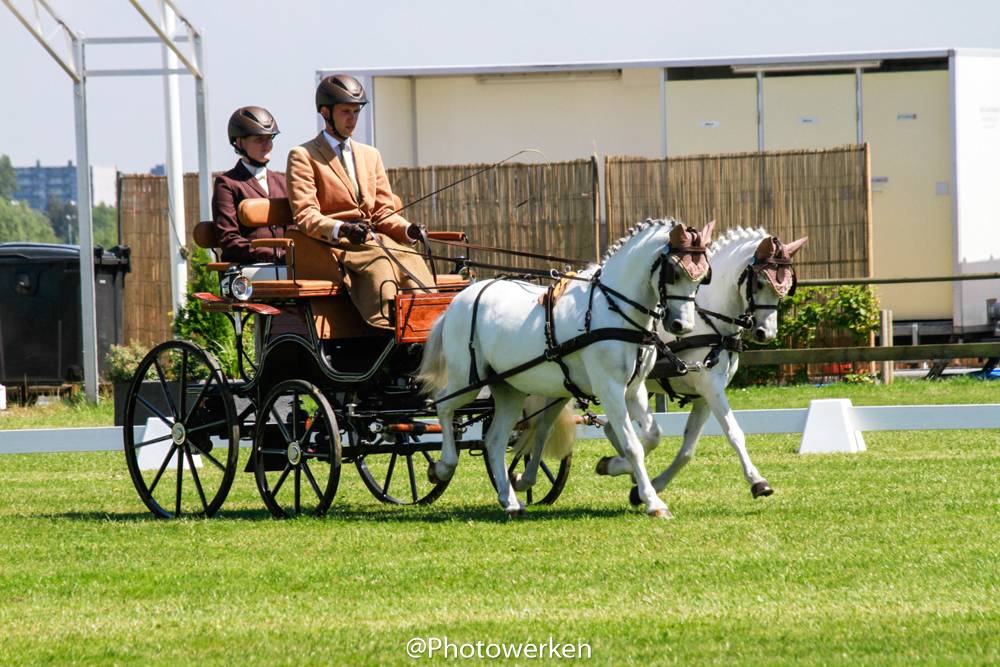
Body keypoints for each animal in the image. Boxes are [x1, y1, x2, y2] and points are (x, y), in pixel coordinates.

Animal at [417, 219, 715, 518]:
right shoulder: (609, 389)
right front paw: (653, 502)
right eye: (674, 272)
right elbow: (633, 445)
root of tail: (460, 300)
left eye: (702, 277)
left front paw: (616, 467)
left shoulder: (634, 389)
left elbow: (652, 436)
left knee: (494, 440)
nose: (682, 325)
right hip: (466, 380)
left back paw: (510, 500)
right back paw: (442, 467)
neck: (613, 309)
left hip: (509, 389)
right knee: (443, 405)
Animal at [593, 227, 808, 505]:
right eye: (760, 283)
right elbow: (734, 432)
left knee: (612, 428)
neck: (710, 319)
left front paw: (654, 484)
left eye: (786, 287)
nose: (766, 333)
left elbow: (688, 449)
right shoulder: (710, 385)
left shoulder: (704, 395)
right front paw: (758, 482)